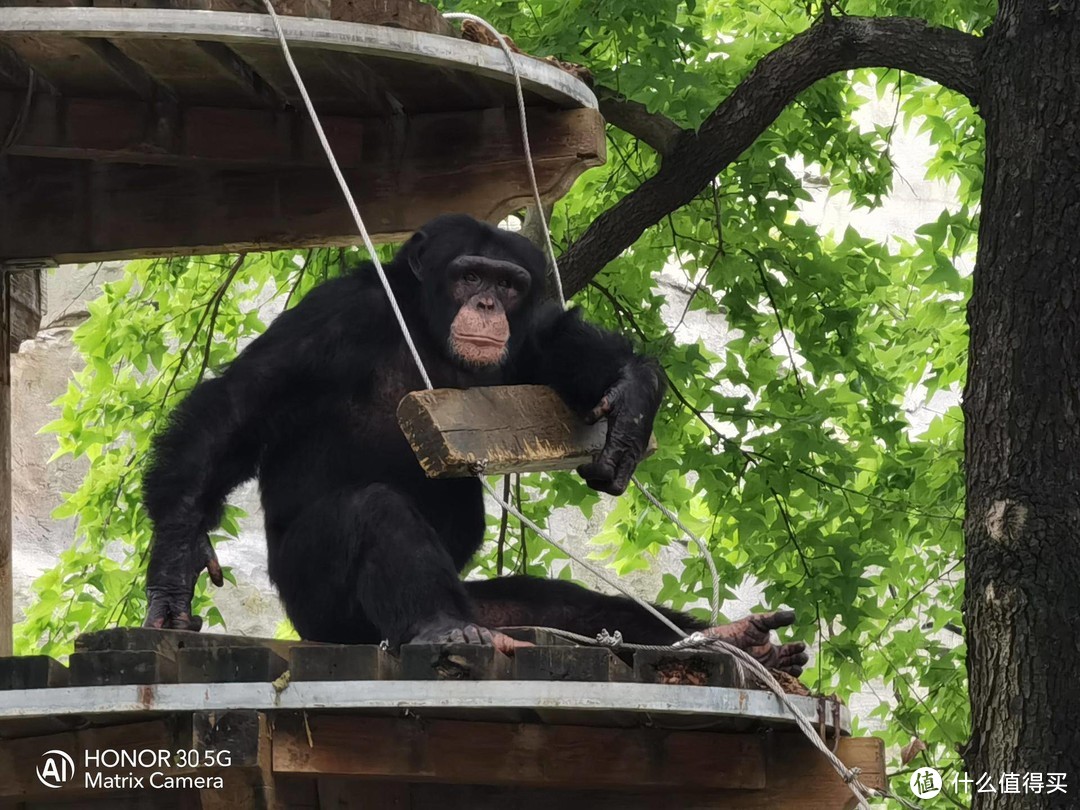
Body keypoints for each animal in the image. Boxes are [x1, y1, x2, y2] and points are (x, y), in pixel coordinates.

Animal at [141, 212, 803, 673]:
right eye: (469, 275)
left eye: (507, 284)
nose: (486, 303)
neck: (425, 329)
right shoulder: (334, 320)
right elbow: (235, 411)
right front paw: (174, 565)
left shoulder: (525, 336)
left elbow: (555, 344)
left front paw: (632, 397)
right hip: (321, 610)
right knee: (371, 510)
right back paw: (444, 629)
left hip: (490, 612)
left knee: (552, 606)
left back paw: (734, 640)